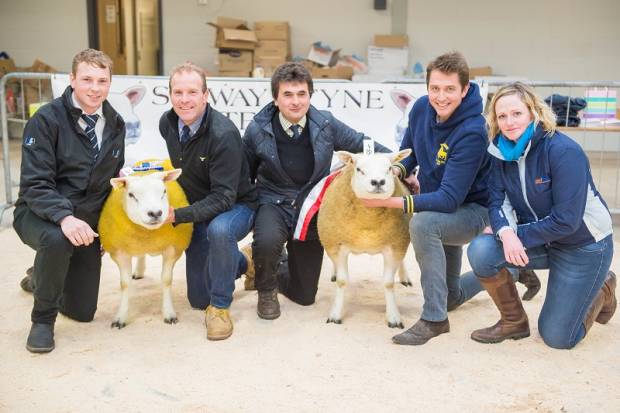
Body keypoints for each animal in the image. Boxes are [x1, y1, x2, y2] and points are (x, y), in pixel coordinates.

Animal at [98, 168, 191, 328]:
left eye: (164, 191)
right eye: (131, 195)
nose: (155, 213)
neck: (147, 234)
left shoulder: (172, 249)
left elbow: (166, 280)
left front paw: (169, 313)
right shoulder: (120, 252)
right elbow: (125, 284)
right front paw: (120, 317)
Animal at [318, 150, 414, 326]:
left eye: (389, 168)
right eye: (358, 169)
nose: (378, 182)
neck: (367, 223)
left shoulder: (395, 244)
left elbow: (388, 283)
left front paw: (394, 317)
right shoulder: (337, 244)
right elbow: (342, 281)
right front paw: (335, 315)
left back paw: (405, 277)